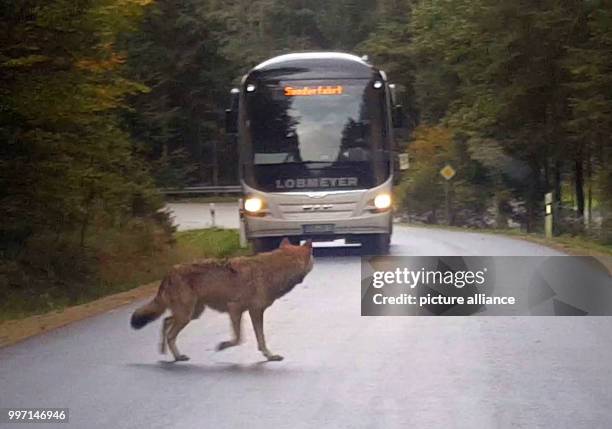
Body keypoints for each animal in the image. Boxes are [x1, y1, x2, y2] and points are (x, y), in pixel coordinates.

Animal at [128, 237, 310, 362]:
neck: (273, 271)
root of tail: (169, 272)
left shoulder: (253, 312)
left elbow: (260, 339)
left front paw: (270, 356)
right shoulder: (236, 309)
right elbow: (239, 339)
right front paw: (222, 346)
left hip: (192, 314)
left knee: (165, 321)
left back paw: (165, 351)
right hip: (187, 315)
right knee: (170, 333)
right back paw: (177, 356)